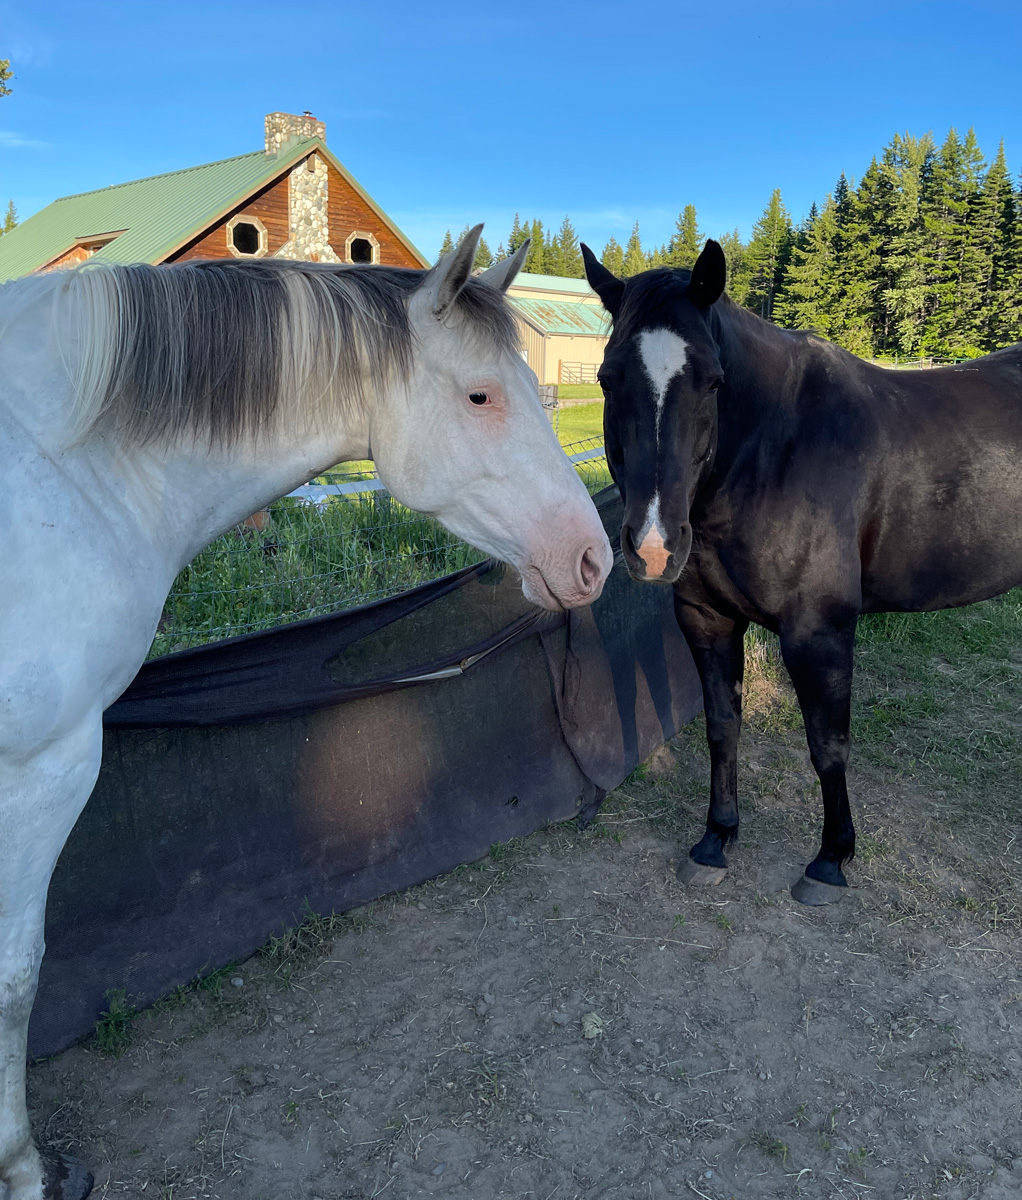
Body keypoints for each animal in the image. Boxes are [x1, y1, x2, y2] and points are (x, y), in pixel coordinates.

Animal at [0, 226, 613, 1200]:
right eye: (481, 394)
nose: (594, 557)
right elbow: (15, 980)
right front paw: (22, 1169)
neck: (72, 466)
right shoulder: (43, 766)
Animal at [580, 238, 1022, 908]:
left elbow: (827, 746)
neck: (776, 453)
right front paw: (716, 839)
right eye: (609, 378)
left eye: (712, 381)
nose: (653, 547)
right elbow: (722, 728)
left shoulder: (820, 633)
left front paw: (831, 859)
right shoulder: (707, 620)